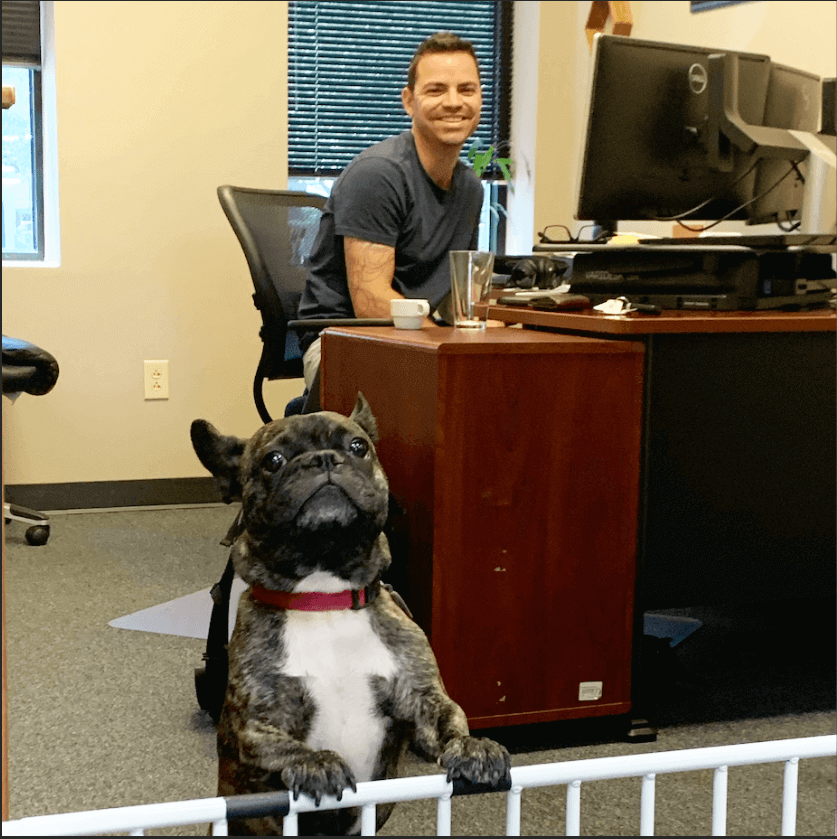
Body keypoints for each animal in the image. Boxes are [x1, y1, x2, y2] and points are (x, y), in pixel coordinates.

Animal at [193, 396, 510, 839]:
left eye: (359, 447)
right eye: (273, 460)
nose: (325, 458)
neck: (325, 597)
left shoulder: (420, 694)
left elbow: (448, 717)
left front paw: (472, 745)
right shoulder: (256, 721)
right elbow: (278, 744)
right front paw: (316, 761)